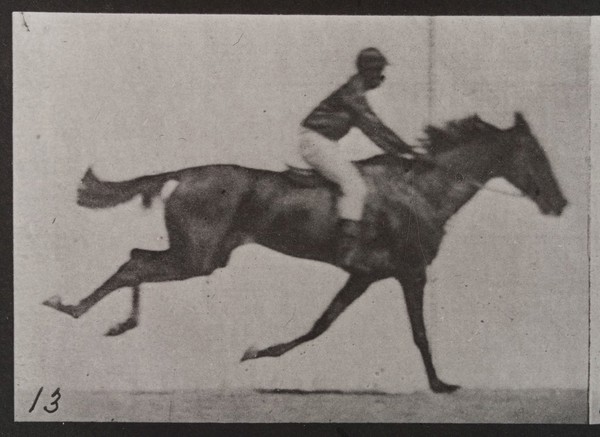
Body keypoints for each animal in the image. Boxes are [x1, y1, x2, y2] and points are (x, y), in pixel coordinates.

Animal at [43, 111, 568, 392]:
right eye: (536, 156)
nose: (560, 203)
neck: (422, 191)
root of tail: (188, 173)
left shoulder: (364, 275)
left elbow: (321, 325)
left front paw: (258, 352)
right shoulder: (410, 271)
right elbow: (419, 333)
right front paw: (440, 384)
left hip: (201, 255)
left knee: (136, 258)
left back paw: (106, 318)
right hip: (198, 257)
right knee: (135, 262)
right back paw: (76, 309)